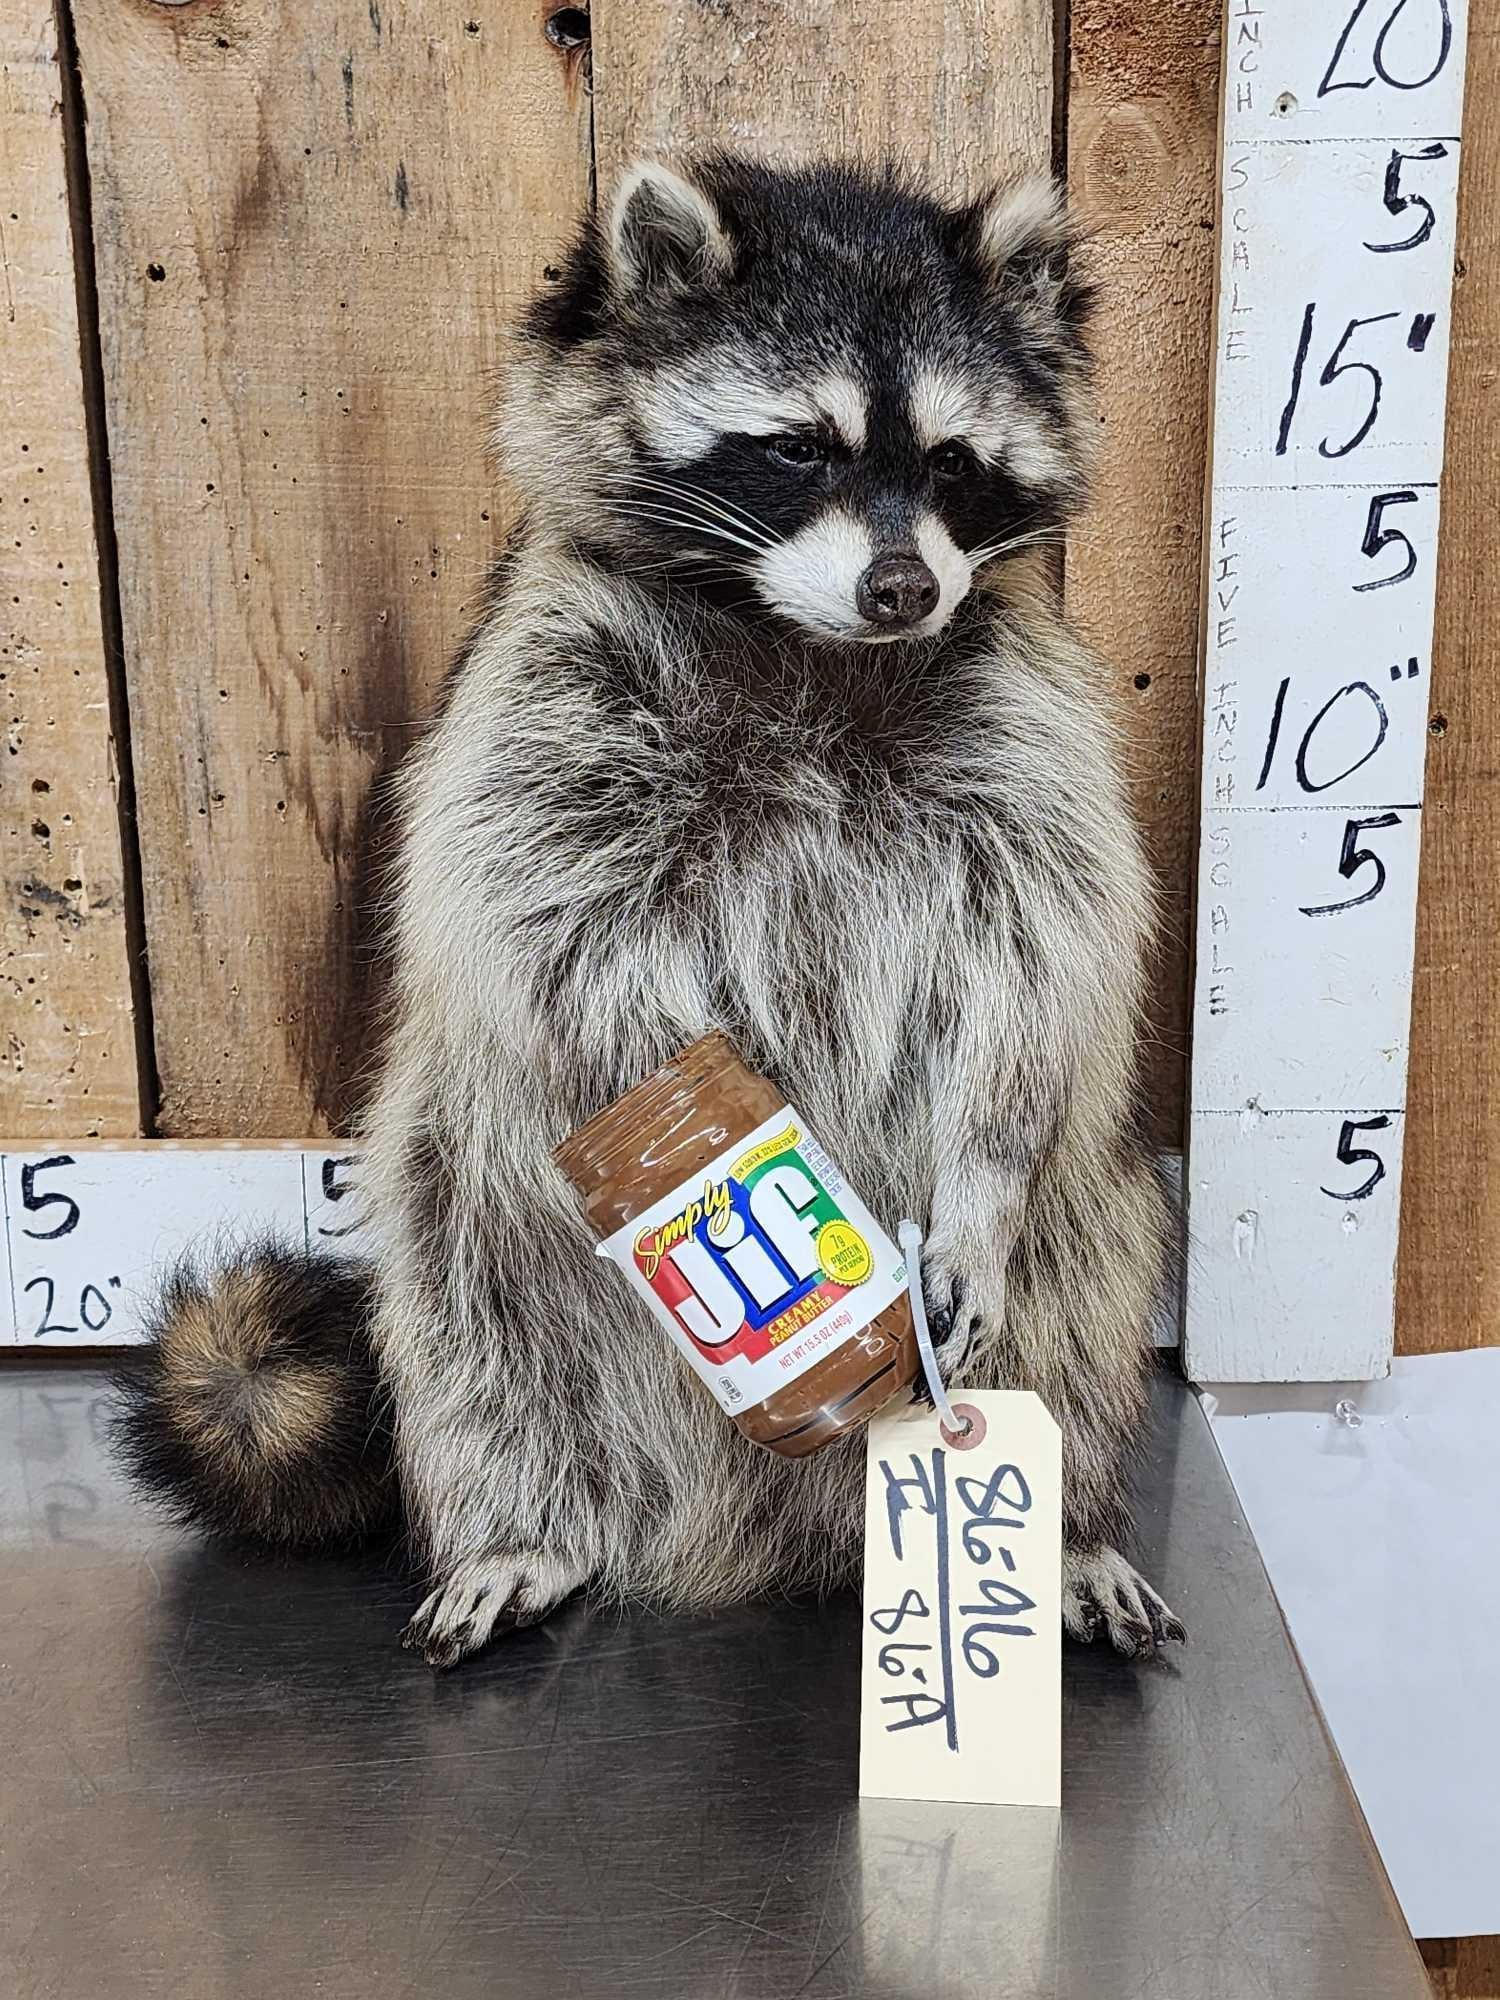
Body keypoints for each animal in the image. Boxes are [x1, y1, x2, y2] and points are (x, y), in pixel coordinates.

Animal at [113, 155, 1183, 1667]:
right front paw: (723, 1154)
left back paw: (1072, 1522)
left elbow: (1041, 949)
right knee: (472, 1313)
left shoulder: (1019, 708)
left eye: (953, 464)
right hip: (474, 1196)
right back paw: (522, 1518)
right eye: (799, 449)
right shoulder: (547, 686)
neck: (808, 636)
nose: (903, 587)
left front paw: (978, 1170)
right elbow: (556, 939)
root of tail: (757, 1535)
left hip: (1086, 1218)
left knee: (1079, 1289)